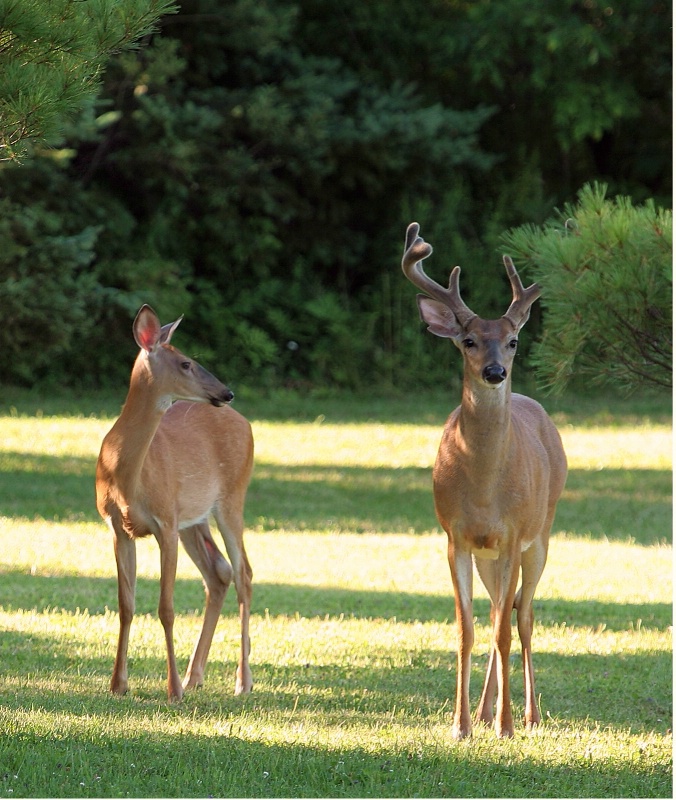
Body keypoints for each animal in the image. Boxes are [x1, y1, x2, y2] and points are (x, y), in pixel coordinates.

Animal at [95, 306, 254, 700]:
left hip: (232, 498)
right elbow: (125, 605)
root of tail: (246, 422)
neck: (127, 478)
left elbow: (166, 608)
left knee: (243, 573)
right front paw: (118, 684)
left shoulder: (165, 522)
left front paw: (173, 690)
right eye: (186, 363)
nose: (227, 392)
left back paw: (242, 680)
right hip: (194, 518)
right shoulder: (117, 527)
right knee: (219, 572)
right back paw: (196, 675)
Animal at [404, 222, 568, 740]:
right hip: (488, 556)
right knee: (501, 606)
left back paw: (529, 715)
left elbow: (503, 628)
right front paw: (460, 725)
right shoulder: (455, 537)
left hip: (542, 534)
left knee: (523, 615)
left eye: (513, 340)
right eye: (469, 340)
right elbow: (468, 629)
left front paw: (506, 726)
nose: (495, 372)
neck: (482, 488)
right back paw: (482, 711)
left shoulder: (514, 535)